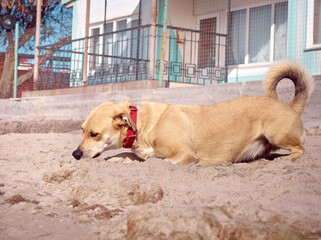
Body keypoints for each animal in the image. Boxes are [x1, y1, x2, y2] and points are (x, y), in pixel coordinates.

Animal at [72, 60, 312, 165]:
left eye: (94, 134)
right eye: (81, 130)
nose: (75, 154)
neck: (143, 125)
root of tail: (289, 106)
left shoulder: (184, 154)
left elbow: (162, 161)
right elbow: (129, 155)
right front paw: (116, 158)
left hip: (277, 134)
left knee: (300, 150)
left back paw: (285, 160)